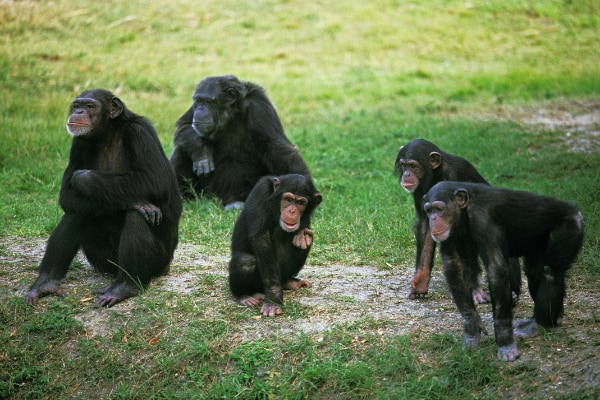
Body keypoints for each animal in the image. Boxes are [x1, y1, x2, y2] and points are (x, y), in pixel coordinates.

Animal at [24, 89, 183, 308]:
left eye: (90, 106)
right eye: (77, 105)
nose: (79, 111)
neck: (108, 133)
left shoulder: (140, 133)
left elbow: (154, 179)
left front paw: (83, 178)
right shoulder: (78, 143)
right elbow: (67, 195)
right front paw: (135, 202)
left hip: (160, 263)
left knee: (137, 217)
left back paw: (124, 287)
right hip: (102, 261)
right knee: (76, 213)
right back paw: (46, 282)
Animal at [168, 74, 312, 209]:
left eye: (208, 101)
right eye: (198, 100)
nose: (200, 109)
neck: (232, 113)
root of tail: (213, 198)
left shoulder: (260, 108)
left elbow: (278, 148)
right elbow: (184, 125)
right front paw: (201, 152)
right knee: (182, 149)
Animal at [230, 173, 324, 318]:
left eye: (301, 203)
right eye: (288, 199)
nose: (292, 211)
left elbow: (303, 236)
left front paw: (302, 239)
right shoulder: (261, 191)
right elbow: (261, 238)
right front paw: (273, 298)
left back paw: (289, 282)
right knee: (245, 261)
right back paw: (244, 296)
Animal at [394, 138, 520, 304]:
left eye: (413, 166)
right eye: (404, 165)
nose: (407, 174)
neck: (436, 174)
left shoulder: (457, 174)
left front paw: (475, 290)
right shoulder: (420, 191)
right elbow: (425, 225)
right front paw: (421, 280)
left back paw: (512, 291)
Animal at [424, 182, 584, 362]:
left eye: (439, 208)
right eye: (428, 210)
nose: (433, 219)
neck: (464, 212)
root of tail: (575, 210)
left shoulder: (483, 219)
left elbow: (496, 270)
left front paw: (505, 343)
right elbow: (454, 266)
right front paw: (472, 329)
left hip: (569, 227)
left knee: (551, 272)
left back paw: (536, 325)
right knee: (534, 271)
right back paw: (549, 318)